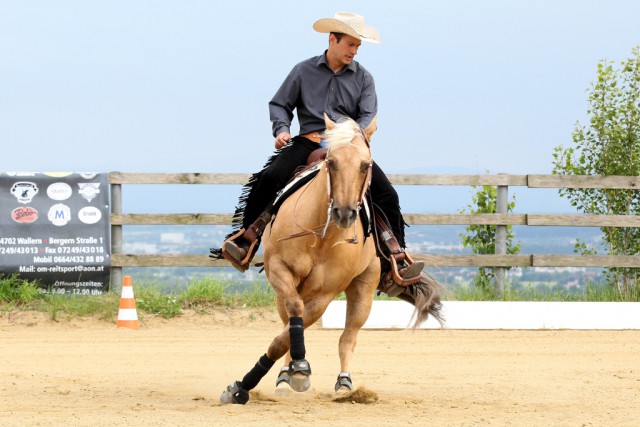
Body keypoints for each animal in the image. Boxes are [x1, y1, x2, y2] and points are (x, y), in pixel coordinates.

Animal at [218, 113, 442, 404]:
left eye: (365, 165)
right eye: (332, 162)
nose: (344, 213)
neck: (319, 236)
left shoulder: (325, 293)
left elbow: (286, 337)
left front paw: (289, 373)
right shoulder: (279, 271)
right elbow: (291, 321)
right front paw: (285, 373)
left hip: (364, 288)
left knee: (347, 337)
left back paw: (345, 385)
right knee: (289, 321)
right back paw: (285, 377)